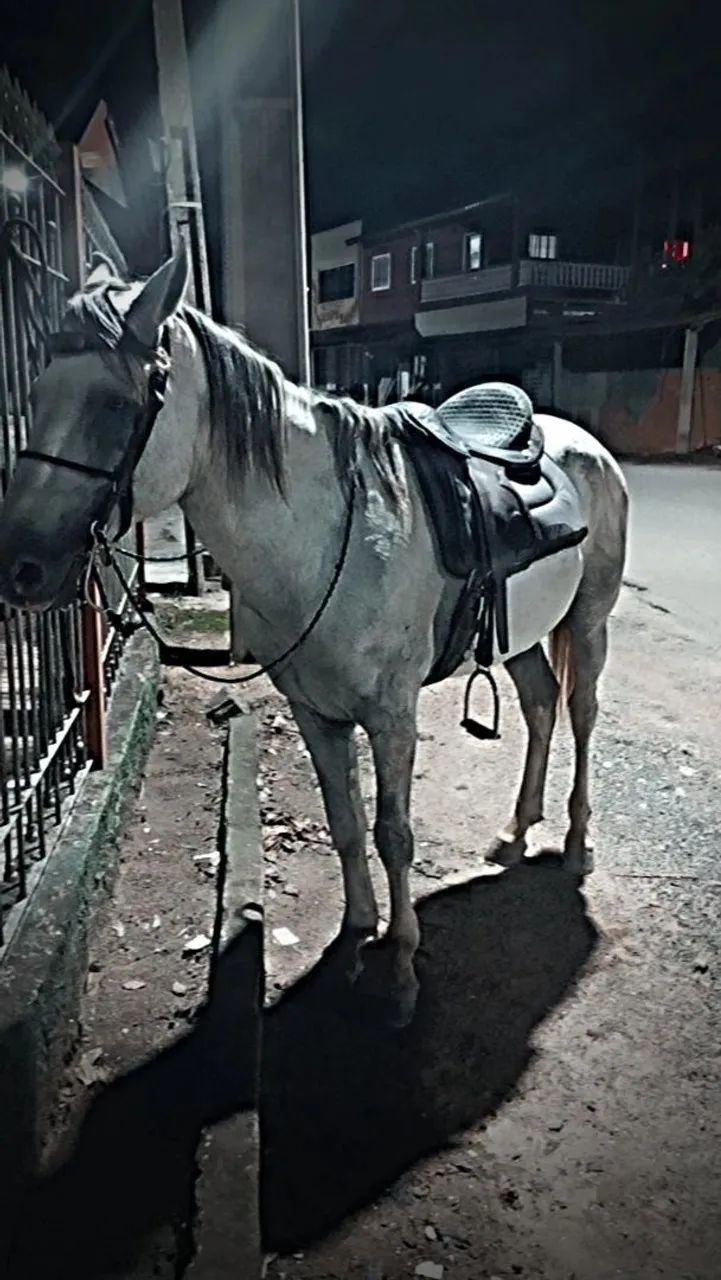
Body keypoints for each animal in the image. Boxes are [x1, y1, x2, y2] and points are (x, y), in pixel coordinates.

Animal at [0, 246, 628, 1025]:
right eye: (36, 396)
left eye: (116, 404)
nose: (20, 567)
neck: (326, 533)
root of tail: (582, 444)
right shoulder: (314, 712)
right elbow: (345, 821)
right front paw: (357, 935)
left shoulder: (391, 717)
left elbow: (393, 834)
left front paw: (401, 973)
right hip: (518, 638)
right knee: (541, 708)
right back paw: (515, 831)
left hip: (588, 621)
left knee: (580, 714)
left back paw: (574, 841)